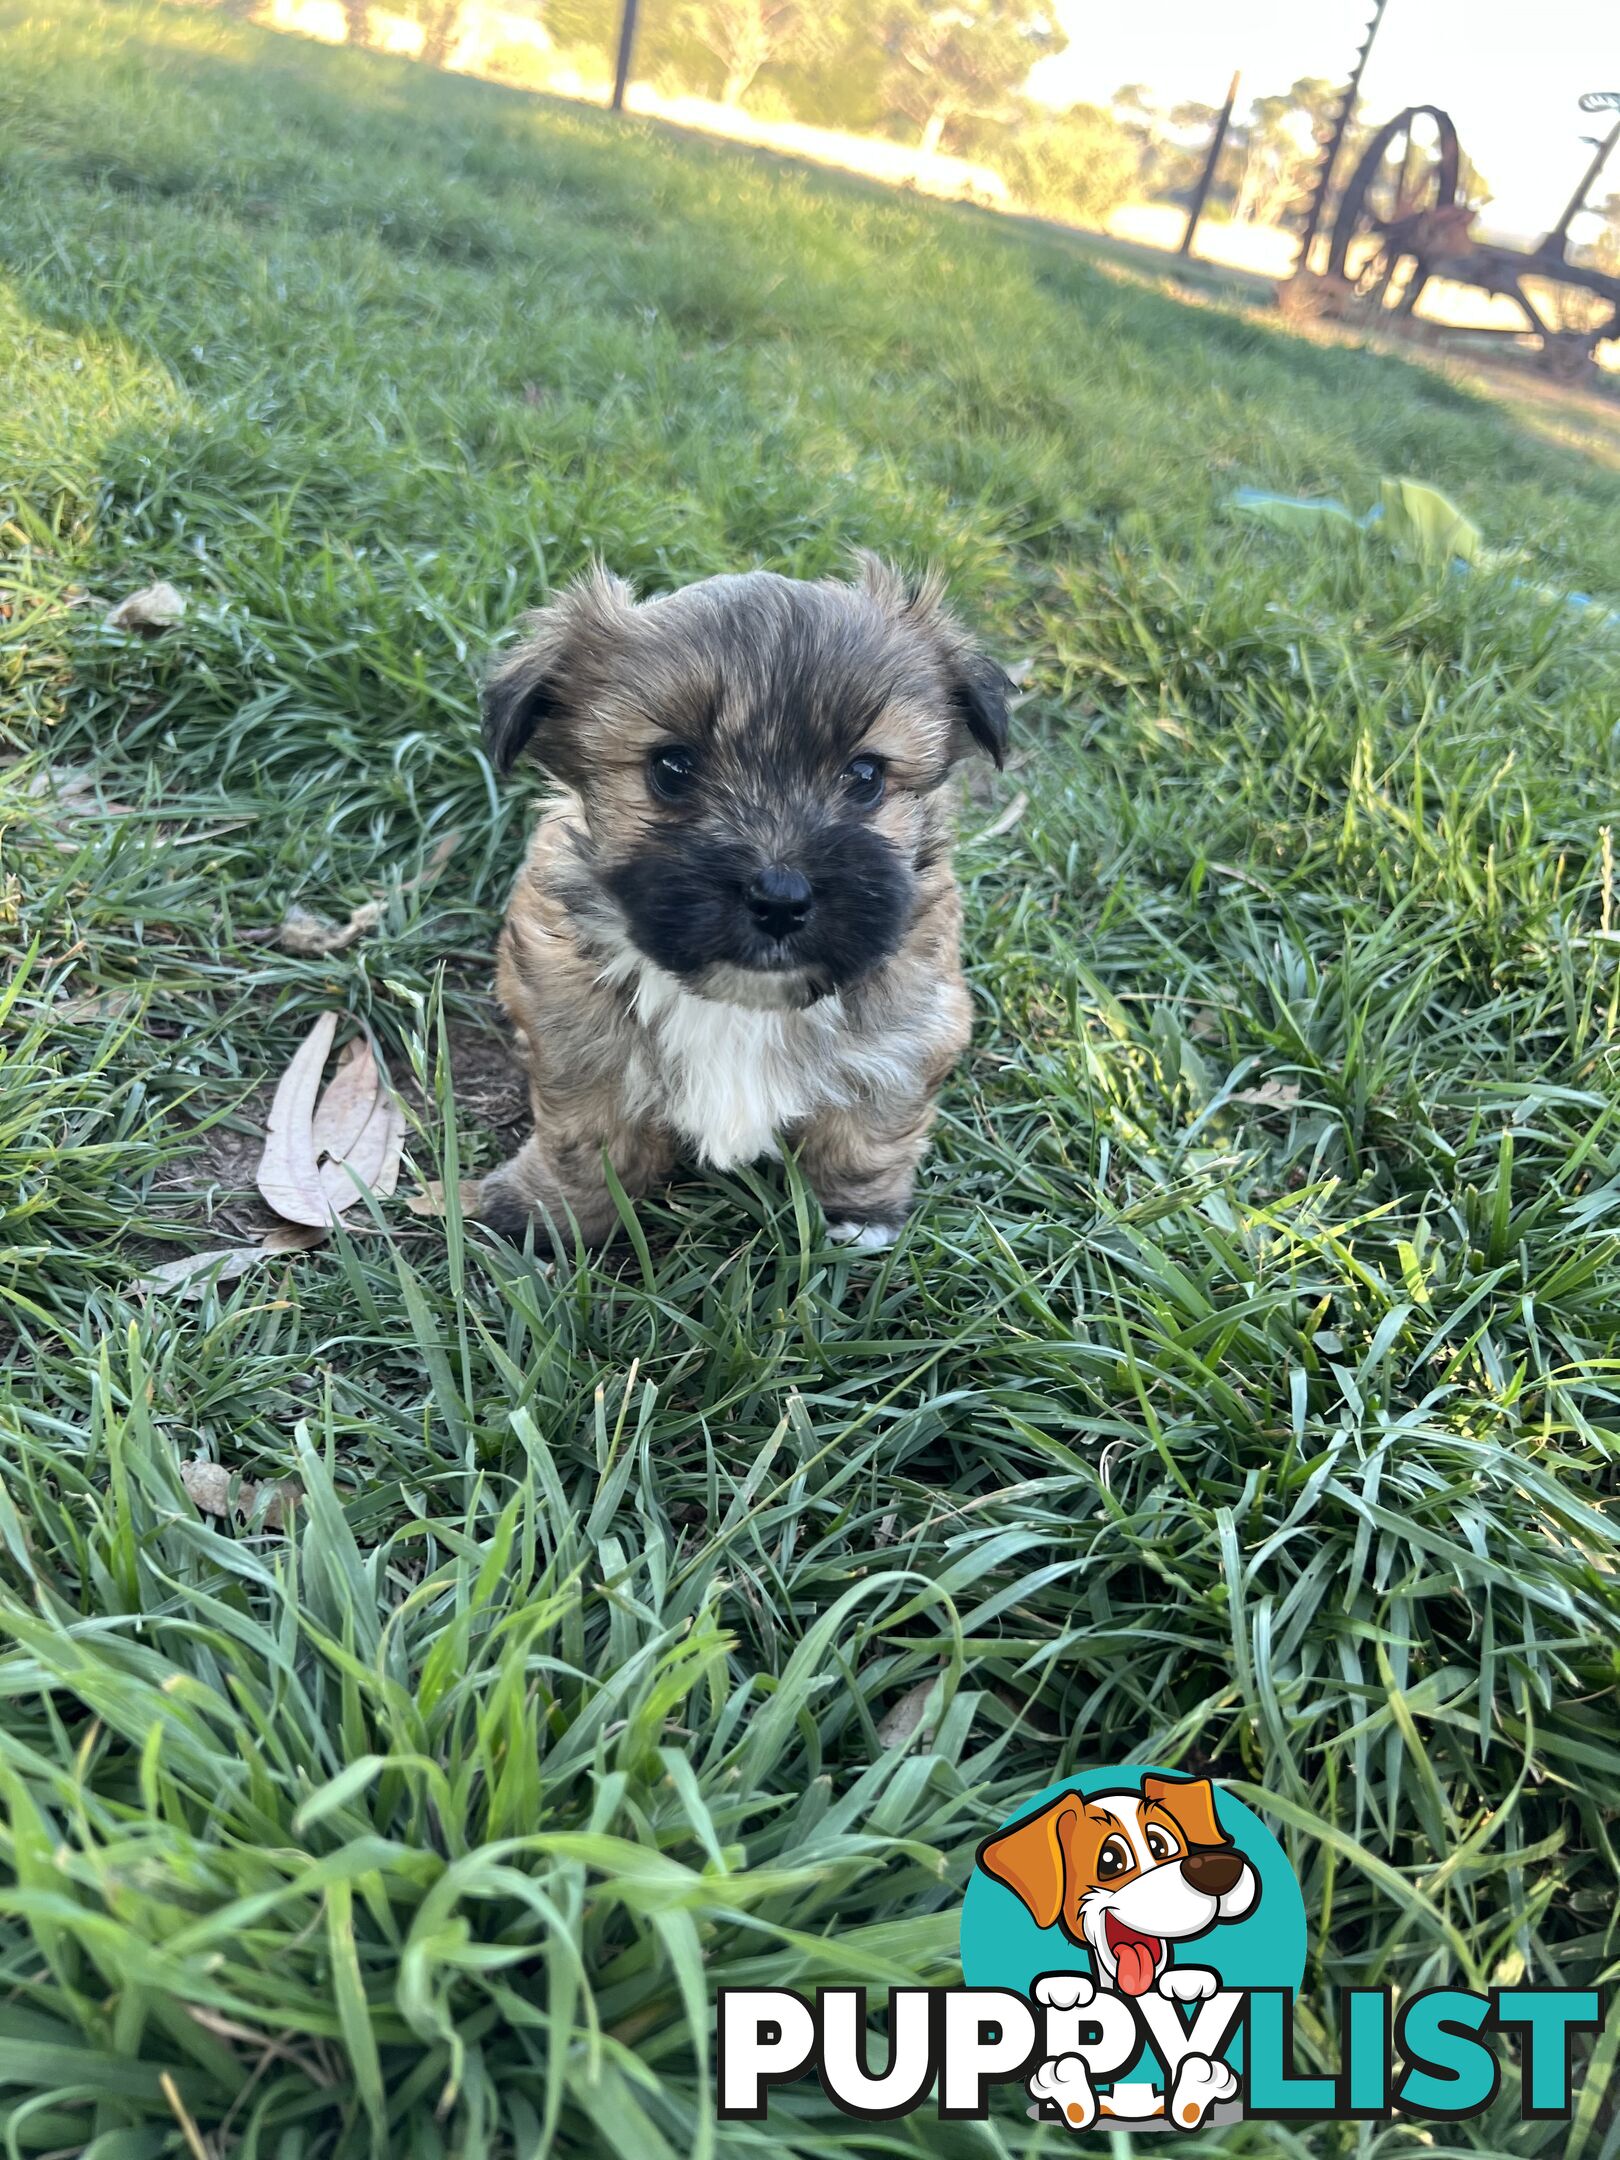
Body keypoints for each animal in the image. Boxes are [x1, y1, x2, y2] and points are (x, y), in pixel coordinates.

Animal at [473, 557, 1015, 1252]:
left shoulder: (910, 1033)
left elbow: (867, 1131)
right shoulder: (572, 1030)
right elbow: (588, 1137)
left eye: (866, 776)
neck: (741, 1006)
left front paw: (859, 1216)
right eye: (672, 768)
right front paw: (556, 1212)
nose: (780, 898)